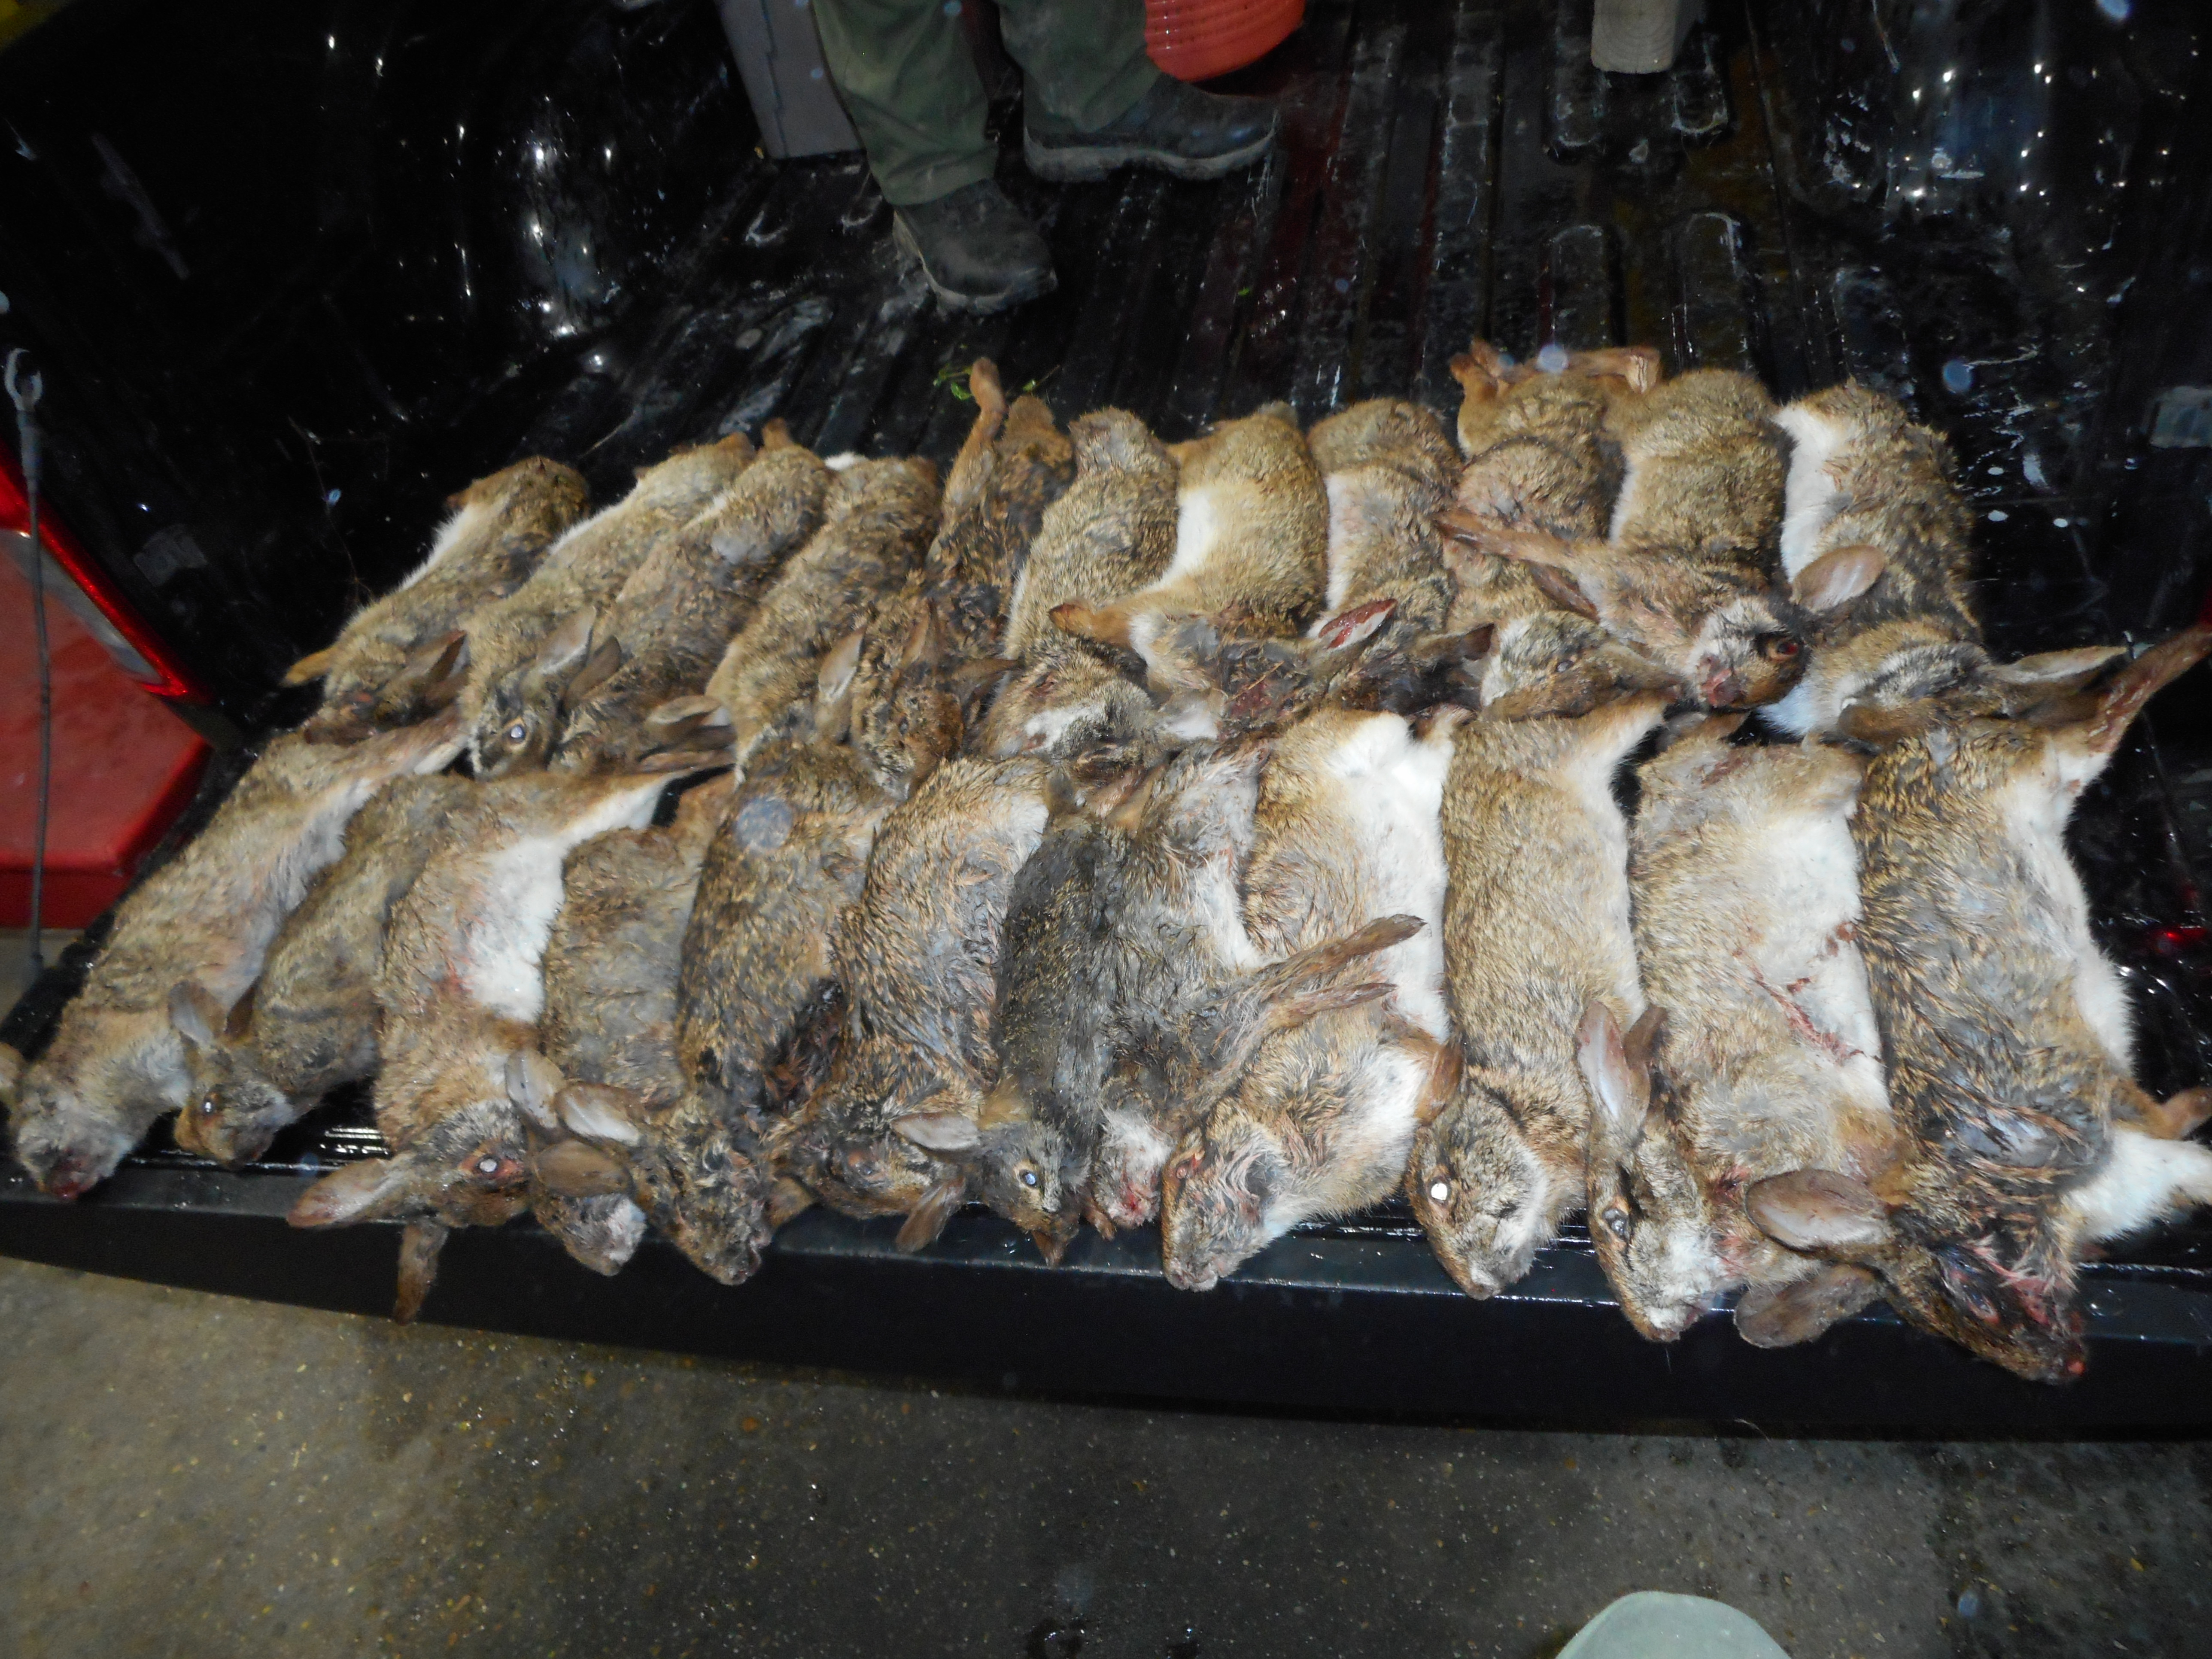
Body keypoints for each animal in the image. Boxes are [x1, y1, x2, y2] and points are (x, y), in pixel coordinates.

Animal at [1405, 690, 1670, 1297]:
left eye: (1439, 1189)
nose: (1479, 1290)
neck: (1520, 1108)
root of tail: (1487, 732)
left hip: (1579, 746)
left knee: (1639, 707)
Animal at [1744, 628, 2212, 1381]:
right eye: (1949, 1337)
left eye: (1973, 1289)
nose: (2064, 1370)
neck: (1977, 1177)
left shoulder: (2080, 1089)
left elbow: (2159, 1112)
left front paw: (2203, 1100)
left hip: (2040, 760)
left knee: (2107, 706)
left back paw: (2167, 646)